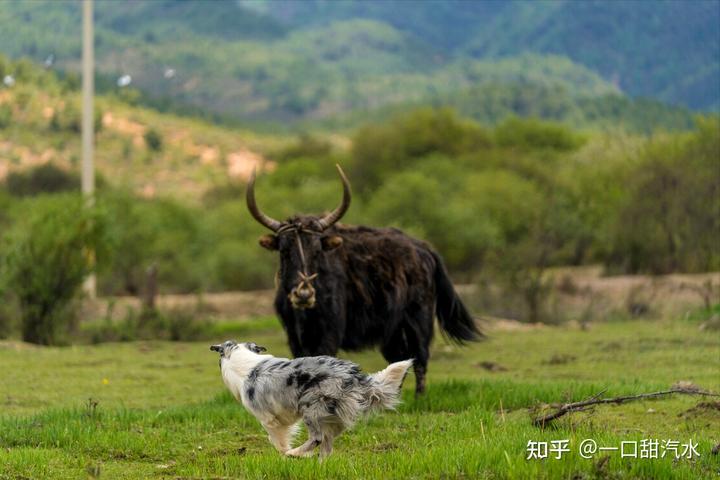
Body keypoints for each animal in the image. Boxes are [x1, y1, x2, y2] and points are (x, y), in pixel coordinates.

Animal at [210, 338, 410, 458]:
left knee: (318, 438)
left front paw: (286, 455)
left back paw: (295, 453)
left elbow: (277, 441)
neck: (241, 359)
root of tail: (353, 375)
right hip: (332, 415)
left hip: (311, 407)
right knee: (328, 443)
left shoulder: (269, 420)